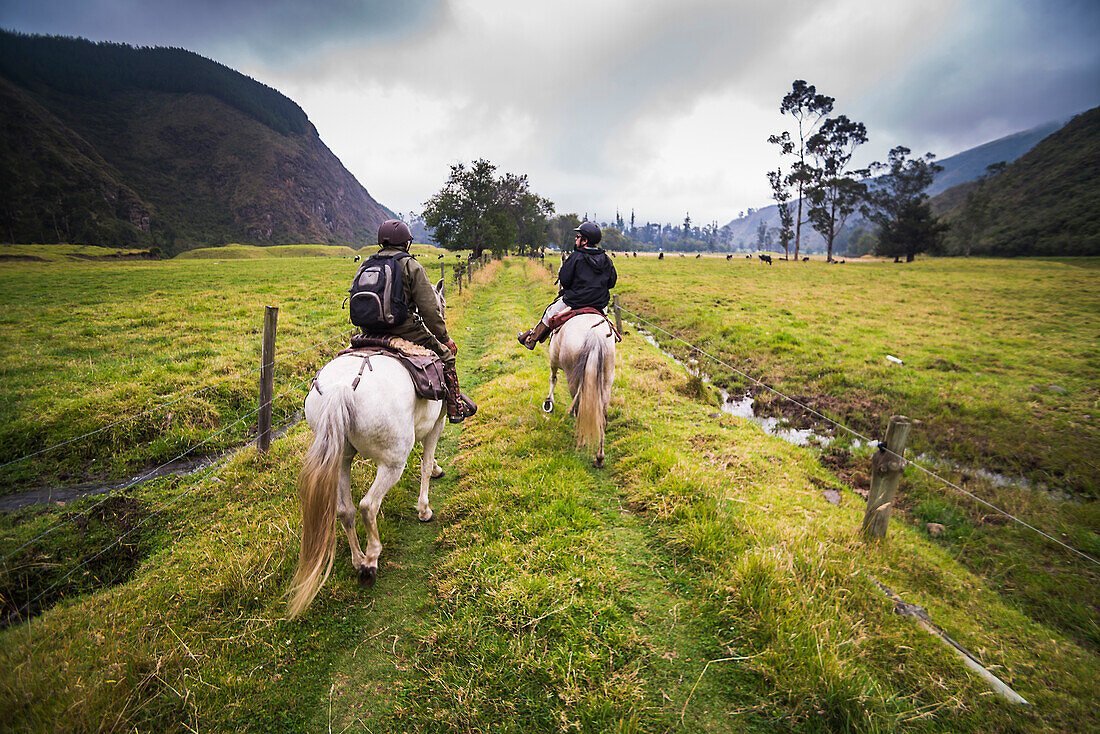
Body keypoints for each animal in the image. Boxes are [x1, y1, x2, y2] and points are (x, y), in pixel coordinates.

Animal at [292, 278, 451, 616]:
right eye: (441, 305)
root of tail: (341, 388)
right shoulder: (438, 422)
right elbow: (425, 463)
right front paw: (425, 507)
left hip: (340, 460)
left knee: (346, 510)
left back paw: (357, 560)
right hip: (392, 462)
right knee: (367, 506)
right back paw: (370, 562)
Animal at [543, 312, 620, 468]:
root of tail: (595, 334)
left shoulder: (553, 361)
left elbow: (553, 378)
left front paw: (549, 402)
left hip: (572, 377)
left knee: (579, 404)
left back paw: (581, 437)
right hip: (606, 380)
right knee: (602, 418)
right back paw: (599, 458)